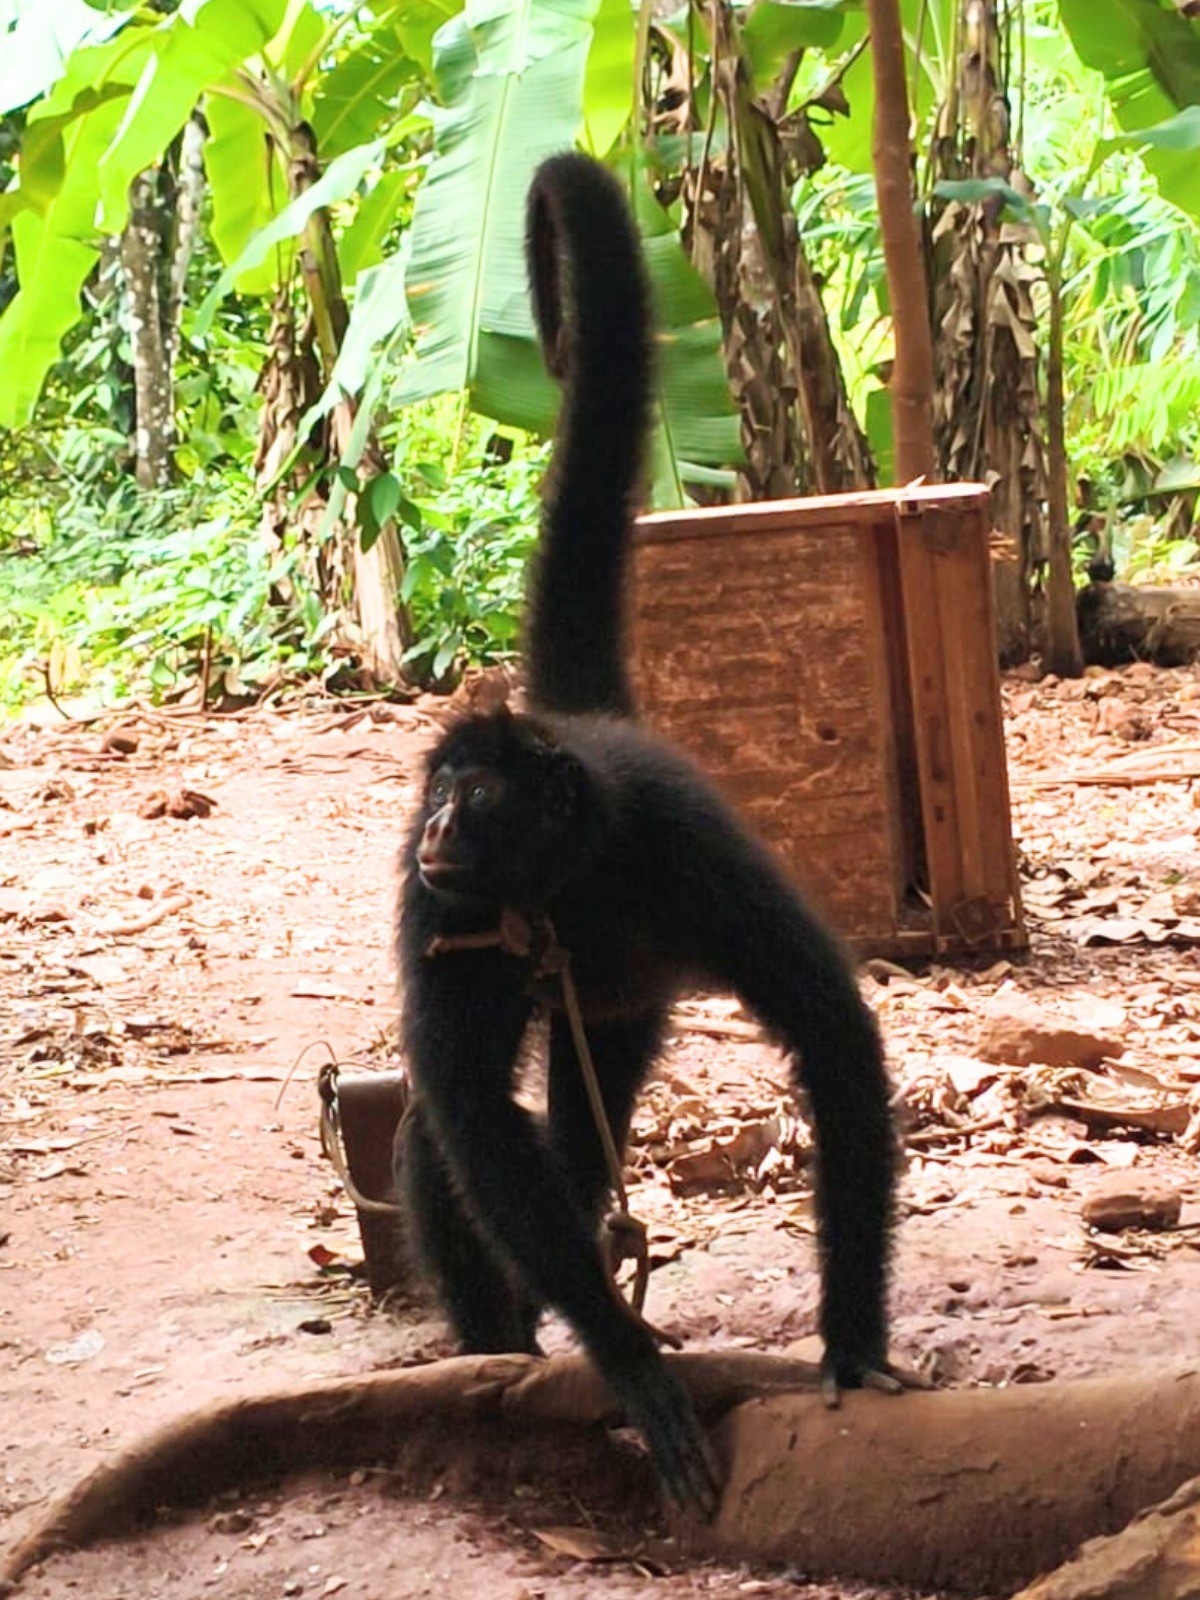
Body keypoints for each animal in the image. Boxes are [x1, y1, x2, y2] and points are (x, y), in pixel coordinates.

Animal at [395, 151, 899, 1519]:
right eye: (441, 787)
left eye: (481, 795)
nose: (442, 820)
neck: (569, 878)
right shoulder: (435, 896)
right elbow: (468, 1113)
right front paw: (625, 1363)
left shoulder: (684, 849)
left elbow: (832, 1032)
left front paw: (852, 1343)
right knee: (465, 1132)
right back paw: (501, 1346)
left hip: (625, 998)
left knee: (581, 1114)